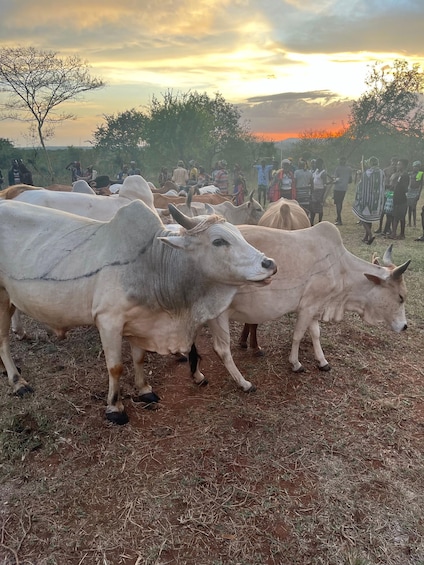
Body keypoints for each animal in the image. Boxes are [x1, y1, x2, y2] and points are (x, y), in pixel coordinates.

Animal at [0, 200, 276, 420]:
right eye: (218, 241)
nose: (270, 263)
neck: (152, 264)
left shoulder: (142, 322)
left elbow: (139, 358)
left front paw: (145, 390)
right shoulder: (108, 321)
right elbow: (116, 367)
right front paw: (115, 407)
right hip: (2, 299)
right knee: (3, 341)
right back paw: (17, 382)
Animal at [190, 221, 410, 392]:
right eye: (401, 297)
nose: (404, 326)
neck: (340, 267)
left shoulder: (316, 306)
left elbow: (315, 334)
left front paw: (322, 361)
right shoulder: (307, 307)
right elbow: (297, 335)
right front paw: (295, 364)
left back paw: (198, 375)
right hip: (217, 315)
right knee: (222, 350)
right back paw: (244, 383)